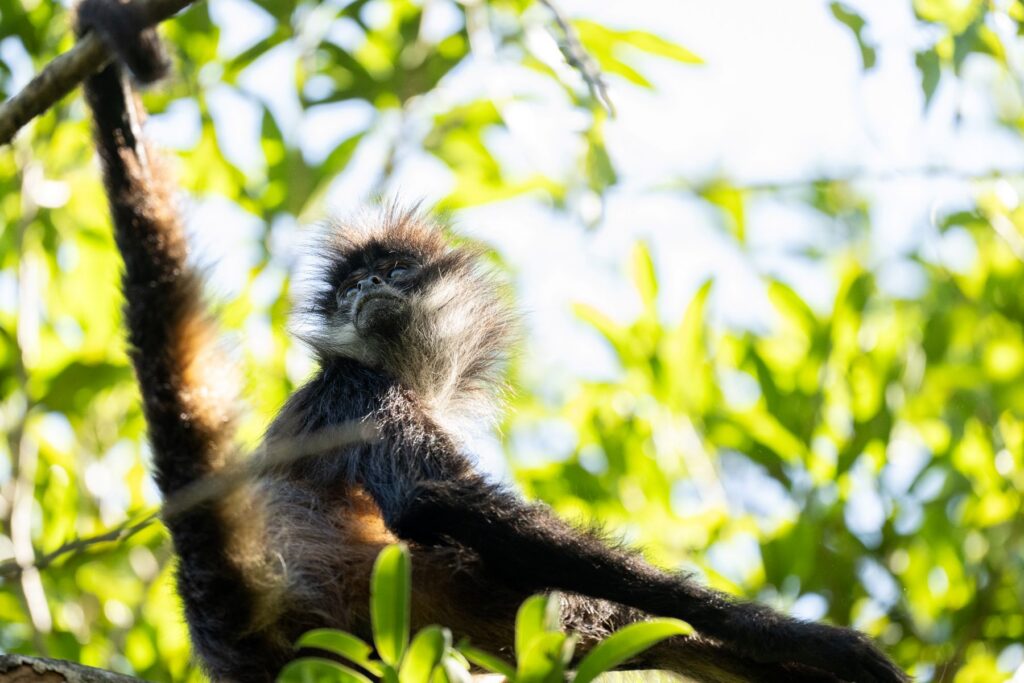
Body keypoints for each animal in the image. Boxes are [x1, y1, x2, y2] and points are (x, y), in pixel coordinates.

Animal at [72, 3, 910, 682]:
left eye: (390, 271)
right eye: (349, 288)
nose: (365, 292)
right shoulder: (357, 388)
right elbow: (438, 501)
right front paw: (804, 639)